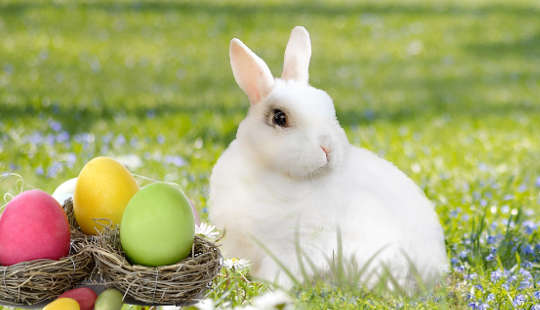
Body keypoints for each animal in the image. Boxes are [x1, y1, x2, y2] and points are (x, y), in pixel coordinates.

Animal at [209, 26, 450, 290]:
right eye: (280, 118)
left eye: (330, 110)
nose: (327, 147)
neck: (270, 171)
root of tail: (434, 270)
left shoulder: (293, 248)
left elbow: (280, 273)